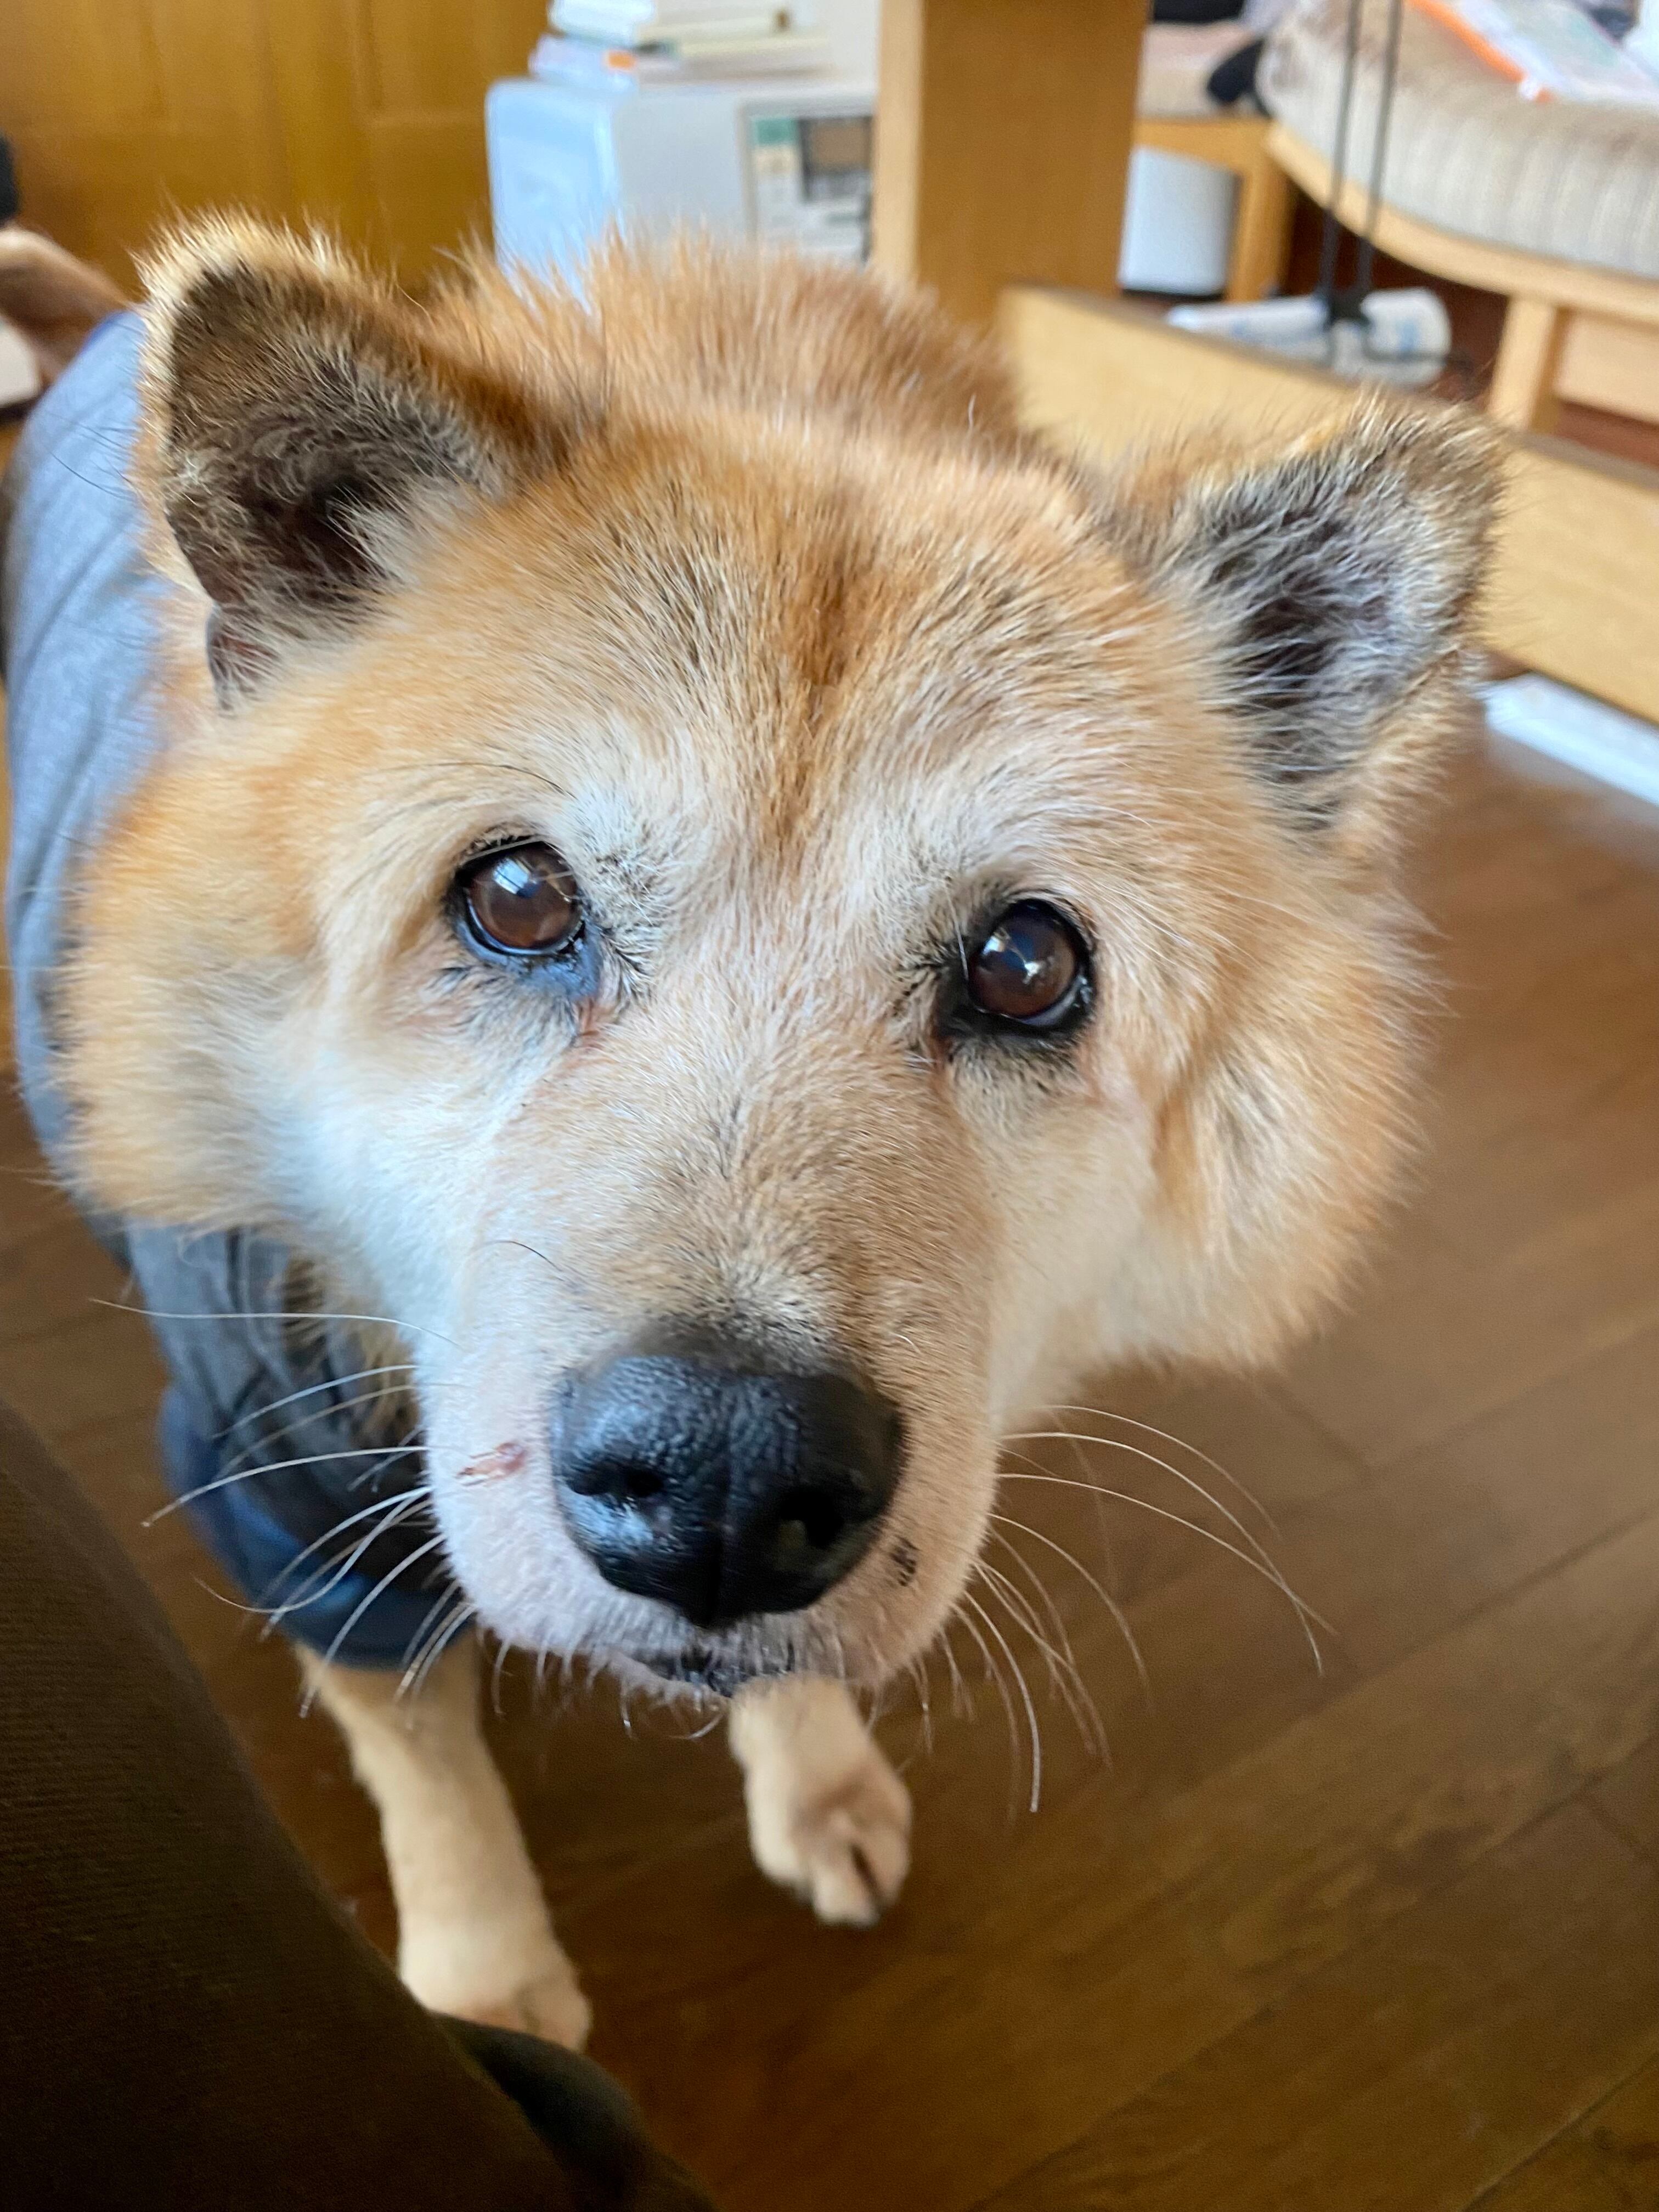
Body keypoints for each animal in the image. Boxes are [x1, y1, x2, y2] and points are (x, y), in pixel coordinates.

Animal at [2, 215, 1496, 2047]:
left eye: (1028, 966)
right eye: (515, 896)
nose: (725, 1475)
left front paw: (814, 1781)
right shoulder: (276, 1461)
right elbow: (421, 1746)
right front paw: (488, 1975)